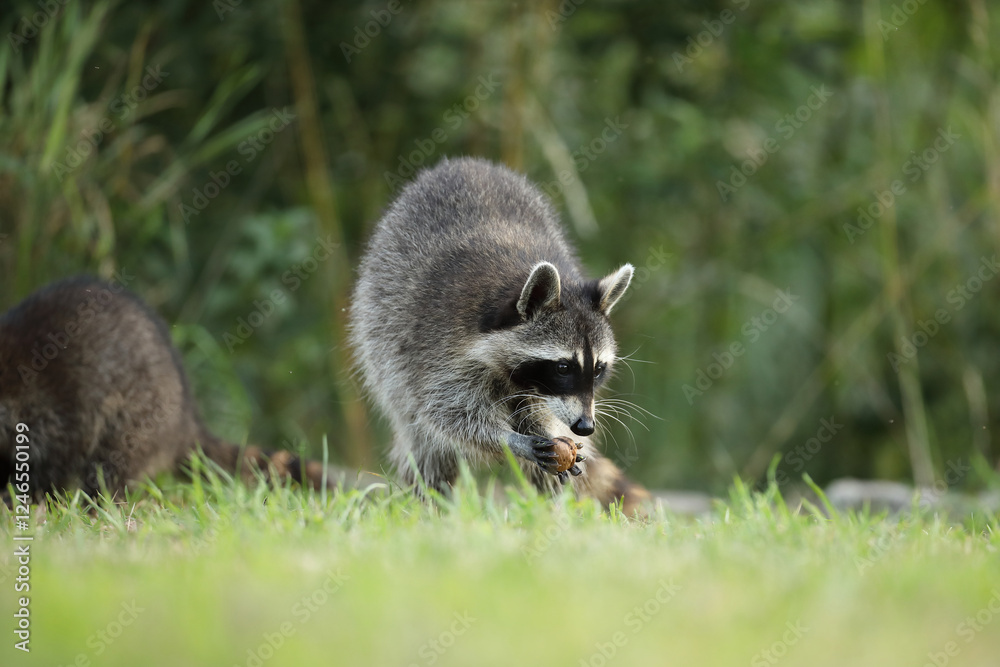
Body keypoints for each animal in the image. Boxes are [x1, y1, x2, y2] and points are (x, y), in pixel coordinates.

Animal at [350, 157, 650, 513]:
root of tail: (465, 163)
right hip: (381, 329)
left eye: (599, 368)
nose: (584, 426)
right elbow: (448, 413)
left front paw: (544, 432)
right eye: (563, 367)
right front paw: (510, 440)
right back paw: (431, 505)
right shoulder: (436, 344)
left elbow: (538, 410)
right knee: (427, 445)